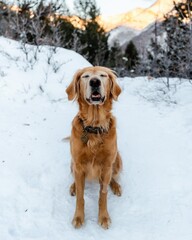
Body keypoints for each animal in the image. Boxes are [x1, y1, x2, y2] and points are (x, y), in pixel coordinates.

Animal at [66, 65, 122, 229]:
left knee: (112, 178)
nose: (95, 81)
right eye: (86, 76)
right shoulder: (78, 164)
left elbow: (103, 194)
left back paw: (116, 186)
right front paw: (79, 217)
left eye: (103, 75)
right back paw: (73, 186)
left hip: (117, 160)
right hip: (72, 163)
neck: (94, 126)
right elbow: (80, 195)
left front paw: (103, 217)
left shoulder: (107, 165)